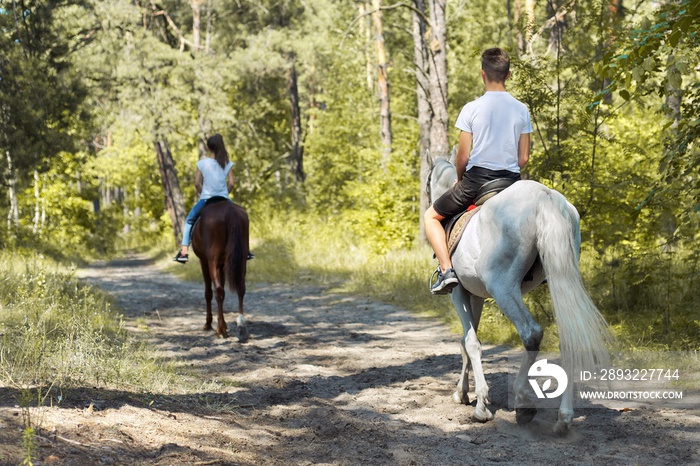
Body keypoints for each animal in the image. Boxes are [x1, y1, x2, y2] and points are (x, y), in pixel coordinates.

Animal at [190, 200, 250, 342]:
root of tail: (230, 211)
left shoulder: (204, 261)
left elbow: (208, 292)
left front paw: (208, 323)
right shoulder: (222, 264)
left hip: (212, 261)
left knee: (218, 291)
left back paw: (220, 329)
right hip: (241, 260)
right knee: (240, 288)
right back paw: (241, 328)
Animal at [424, 156, 608, 434]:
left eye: (426, 183)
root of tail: (545, 196)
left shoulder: (459, 293)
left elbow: (470, 342)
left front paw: (479, 404)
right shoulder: (475, 296)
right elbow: (466, 342)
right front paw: (463, 392)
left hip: (503, 288)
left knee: (531, 333)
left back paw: (523, 401)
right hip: (559, 279)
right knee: (567, 336)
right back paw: (563, 419)